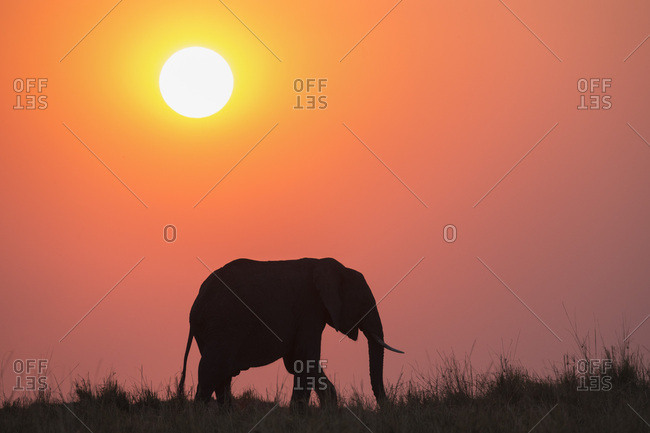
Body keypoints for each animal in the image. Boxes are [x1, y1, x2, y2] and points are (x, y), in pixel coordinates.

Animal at [178, 257, 403, 407]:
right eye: (363, 303)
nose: (386, 407)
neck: (333, 267)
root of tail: (196, 301)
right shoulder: (310, 308)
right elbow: (306, 357)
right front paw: (299, 415)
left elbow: (297, 360)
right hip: (223, 323)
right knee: (212, 368)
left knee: (222, 373)